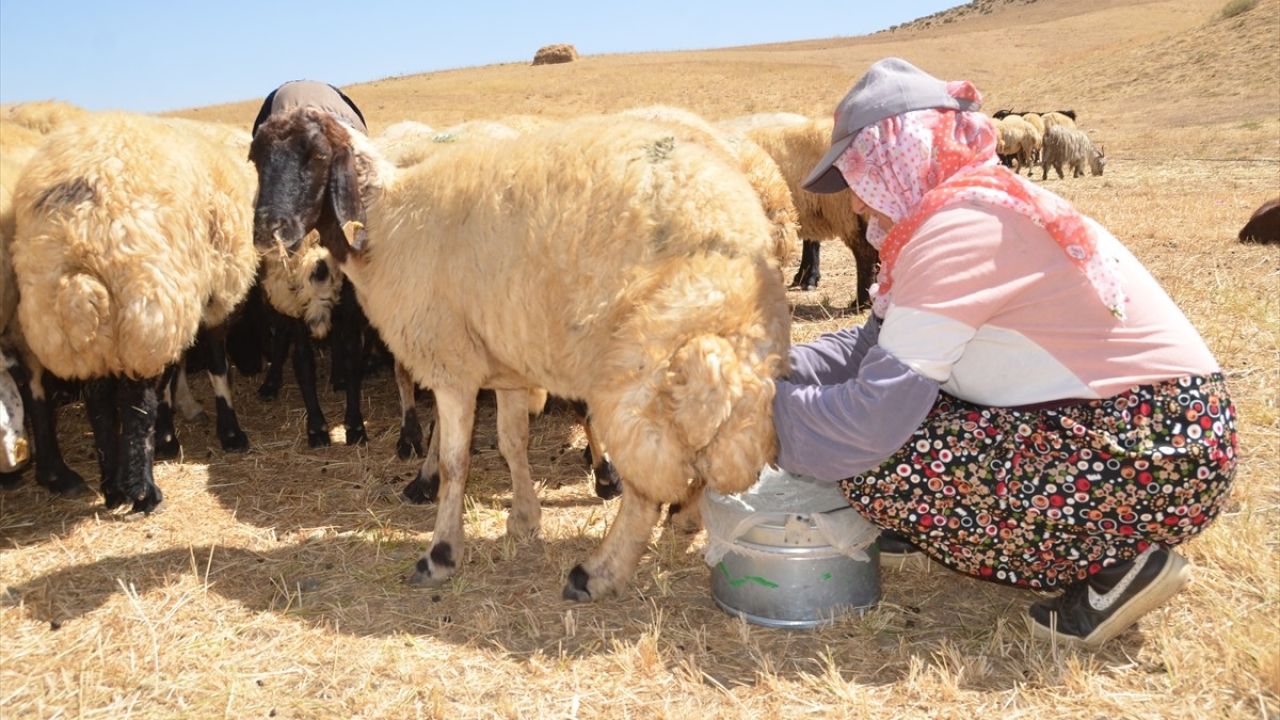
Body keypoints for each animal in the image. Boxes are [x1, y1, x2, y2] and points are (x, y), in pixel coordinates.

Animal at [13, 112, 259, 509]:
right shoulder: (208, 293)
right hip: (144, 301)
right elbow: (216, 367)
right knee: (136, 402)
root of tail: (78, 232)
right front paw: (227, 434)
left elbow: (175, 373)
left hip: (91, 324)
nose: (254, 365)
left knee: (99, 402)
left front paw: (170, 434)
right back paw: (143, 491)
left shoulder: (187, 297)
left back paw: (113, 487)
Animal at [249, 107, 788, 599]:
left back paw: (597, 573)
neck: (386, 220)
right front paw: (524, 521)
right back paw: (682, 521)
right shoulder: (506, 367)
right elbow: (513, 444)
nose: (268, 230)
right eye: (256, 158)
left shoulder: (452, 367)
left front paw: (441, 554)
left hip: (642, 368)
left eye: (317, 155)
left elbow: (455, 463)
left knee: (644, 489)